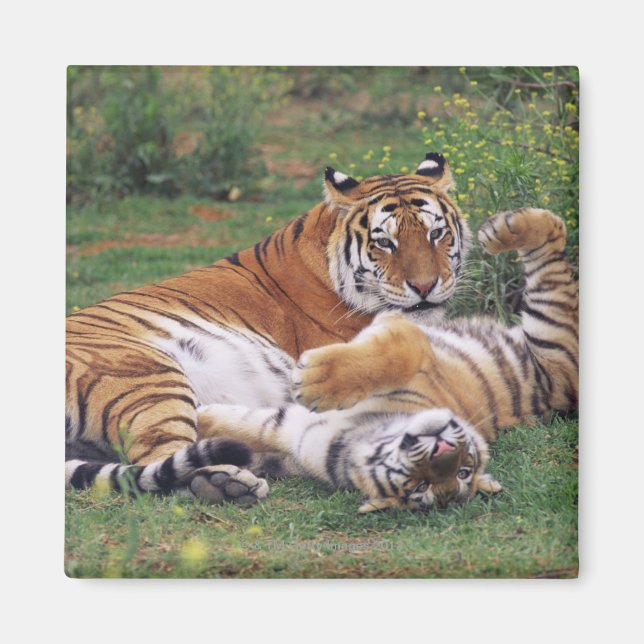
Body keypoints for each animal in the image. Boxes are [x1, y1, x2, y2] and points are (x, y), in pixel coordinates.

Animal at [66, 152, 471, 504]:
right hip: (146, 375)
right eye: (384, 242)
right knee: (161, 462)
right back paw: (225, 481)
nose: (424, 287)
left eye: (436, 234)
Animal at [197, 207, 579, 512]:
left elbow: (401, 351)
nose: (443, 447)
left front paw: (315, 380)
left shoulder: (402, 327)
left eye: (462, 472)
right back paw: (503, 228)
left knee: (555, 256)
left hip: (552, 332)